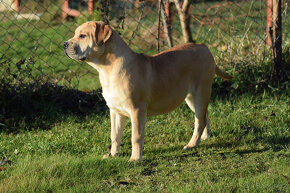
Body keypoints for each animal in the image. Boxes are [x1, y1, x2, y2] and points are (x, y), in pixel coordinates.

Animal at [64, 21, 233, 161]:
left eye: (82, 36)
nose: (64, 44)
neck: (107, 68)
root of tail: (204, 47)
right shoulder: (115, 111)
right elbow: (115, 135)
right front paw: (113, 155)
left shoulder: (137, 110)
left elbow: (136, 136)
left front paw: (135, 159)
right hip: (191, 97)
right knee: (204, 116)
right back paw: (204, 137)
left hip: (200, 92)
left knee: (199, 121)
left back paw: (192, 144)